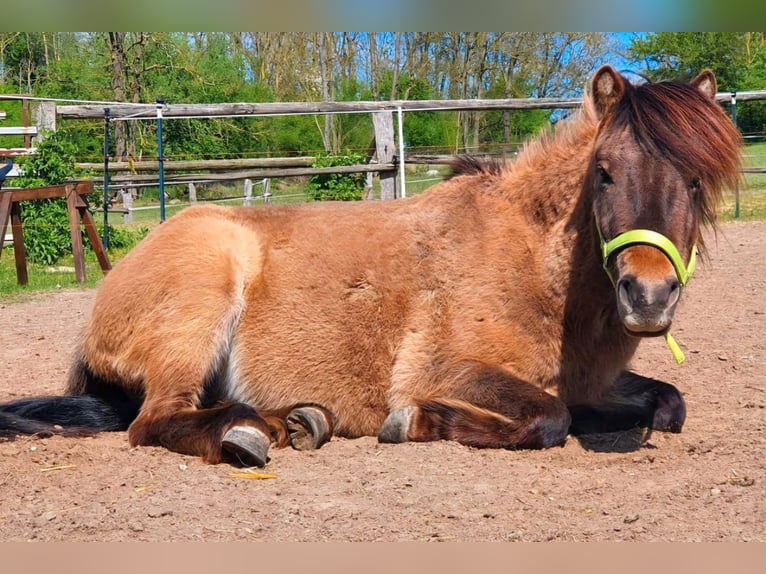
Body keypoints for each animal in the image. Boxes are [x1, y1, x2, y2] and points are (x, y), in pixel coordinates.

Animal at [0, 67, 744, 468]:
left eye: (698, 181)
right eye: (605, 172)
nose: (648, 296)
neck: (532, 263)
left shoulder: (598, 381)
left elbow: (665, 404)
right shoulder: (447, 368)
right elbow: (549, 417)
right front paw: (415, 422)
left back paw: (295, 421)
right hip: (203, 299)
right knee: (154, 421)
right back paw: (250, 432)